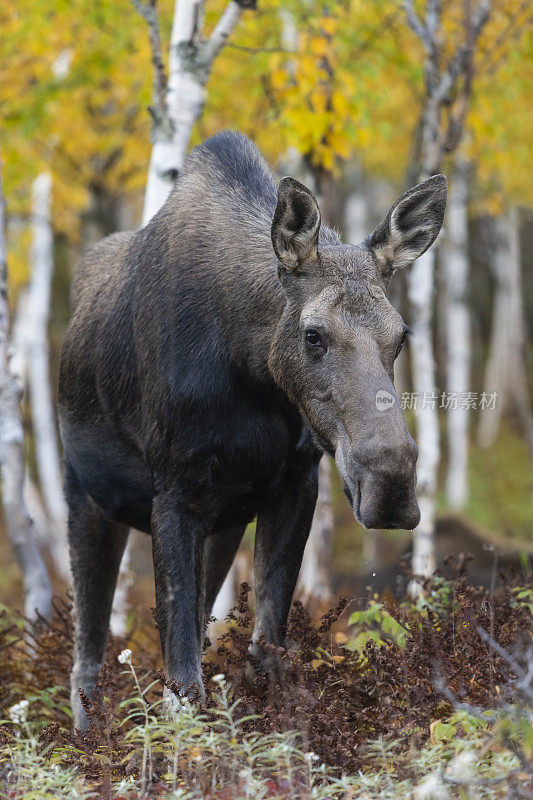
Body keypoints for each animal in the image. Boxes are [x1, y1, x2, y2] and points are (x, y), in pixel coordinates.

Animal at [58, 130, 444, 724]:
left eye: (401, 335)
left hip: (225, 518)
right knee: (86, 660)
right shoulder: (173, 493)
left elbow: (263, 652)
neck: (252, 371)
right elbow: (181, 681)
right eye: (313, 334)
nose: (392, 485)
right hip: (87, 495)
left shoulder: (292, 484)